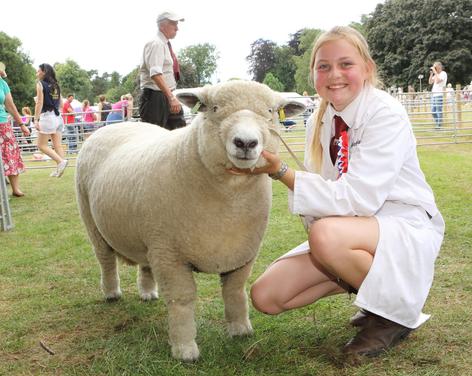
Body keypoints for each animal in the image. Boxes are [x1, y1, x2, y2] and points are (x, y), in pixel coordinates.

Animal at [76, 81, 306, 362]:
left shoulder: (243, 252)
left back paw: (148, 293)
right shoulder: (170, 255)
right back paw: (111, 293)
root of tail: (116, 125)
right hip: (92, 220)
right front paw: (185, 349)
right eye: (214, 109)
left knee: (144, 264)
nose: (246, 142)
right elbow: (181, 300)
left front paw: (240, 330)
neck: (230, 200)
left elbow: (234, 290)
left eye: (270, 112)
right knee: (106, 260)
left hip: (147, 232)